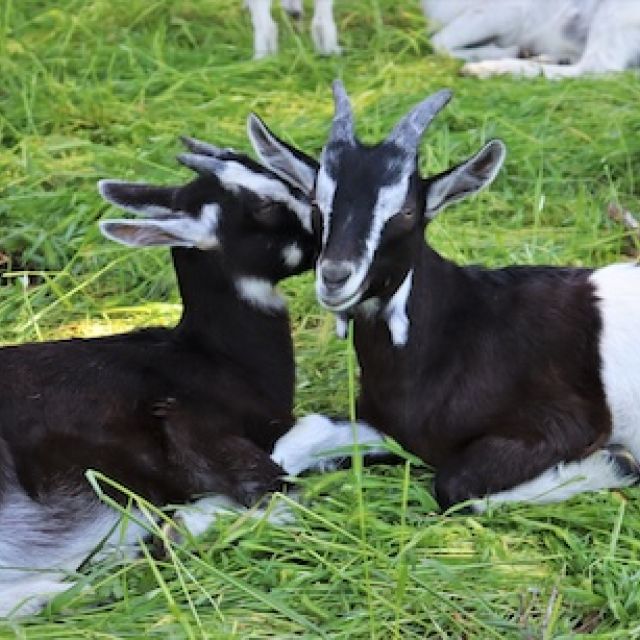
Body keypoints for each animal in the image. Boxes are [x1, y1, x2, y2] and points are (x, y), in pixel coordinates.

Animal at [249, 81, 640, 511]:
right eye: (317, 203)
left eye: (405, 212)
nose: (335, 277)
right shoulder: (390, 428)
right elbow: (297, 438)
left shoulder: (565, 422)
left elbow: (456, 486)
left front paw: (616, 463)